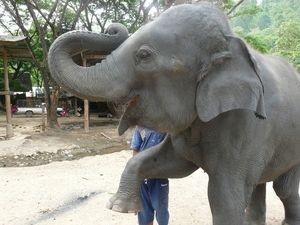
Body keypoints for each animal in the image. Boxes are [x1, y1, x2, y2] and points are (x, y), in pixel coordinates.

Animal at [48, 2, 300, 225]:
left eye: (144, 55)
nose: (112, 28)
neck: (229, 42)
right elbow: (174, 162)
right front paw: (119, 207)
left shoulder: (246, 125)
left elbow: (224, 197)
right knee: (261, 183)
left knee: (283, 188)